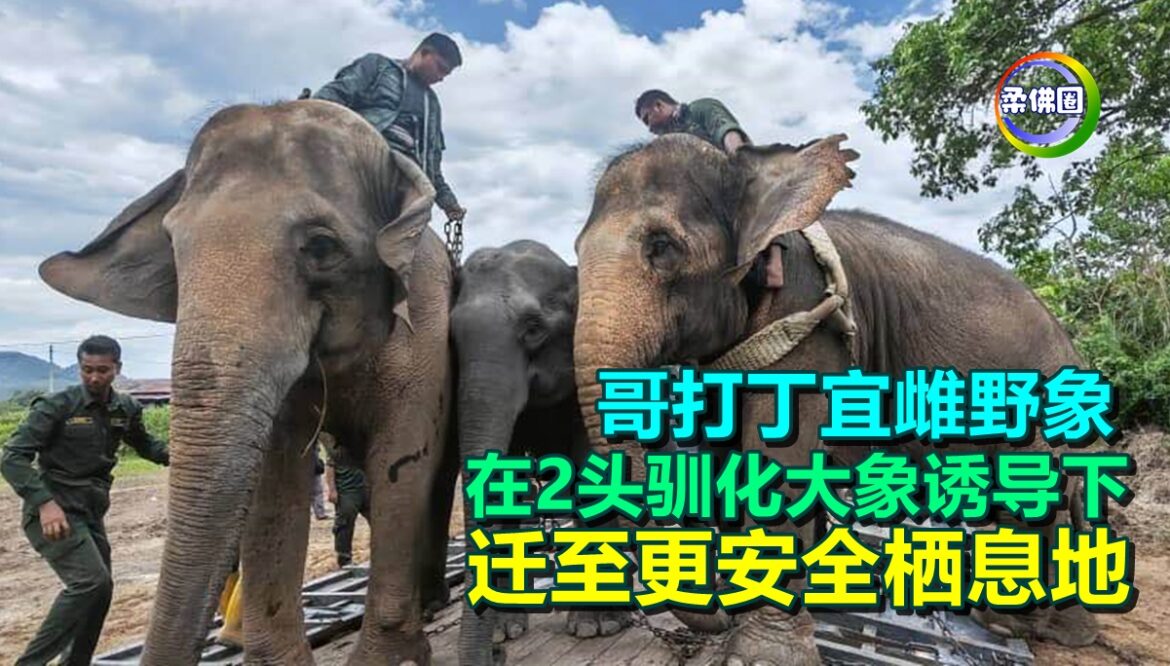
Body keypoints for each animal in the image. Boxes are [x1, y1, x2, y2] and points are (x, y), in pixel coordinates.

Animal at [39, 100, 456, 665]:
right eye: (172, 246)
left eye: (320, 246)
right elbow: (274, 477)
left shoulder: (425, 327)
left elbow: (402, 462)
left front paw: (393, 659)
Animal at [571, 133, 1101, 665]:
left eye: (662, 247)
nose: (715, 609)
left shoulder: (810, 315)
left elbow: (777, 458)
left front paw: (762, 652)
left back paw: (1029, 627)